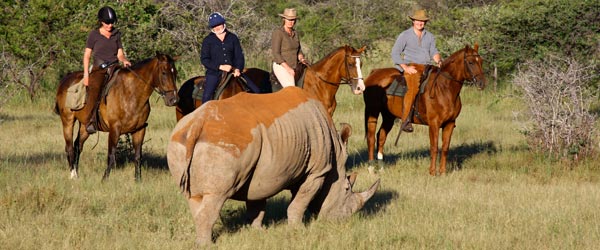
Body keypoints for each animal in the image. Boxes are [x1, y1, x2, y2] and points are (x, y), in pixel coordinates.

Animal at [54, 53, 178, 182]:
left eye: (175, 73)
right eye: (164, 73)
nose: (173, 100)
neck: (131, 93)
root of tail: (65, 80)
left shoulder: (139, 129)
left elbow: (138, 156)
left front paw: (138, 180)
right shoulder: (115, 129)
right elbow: (111, 155)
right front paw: (104, 179)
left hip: (85, 126)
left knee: (78, 146)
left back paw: (77, 174)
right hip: (68, 121)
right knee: (69, 148)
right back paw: (73, 175)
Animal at [364, 43, 486, 176]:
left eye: (481, 61)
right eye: (470, 62)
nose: (482, 83)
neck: (444, 89)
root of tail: (374, 73)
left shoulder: (449, 123)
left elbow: (445, 148)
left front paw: (443, 172)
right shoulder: (434, 124)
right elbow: (434, 147)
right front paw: (432, 172)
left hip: (388, 116)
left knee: (381, 136)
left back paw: (381, 168)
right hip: (373, 112)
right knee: (371, 138)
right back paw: (371, 169)